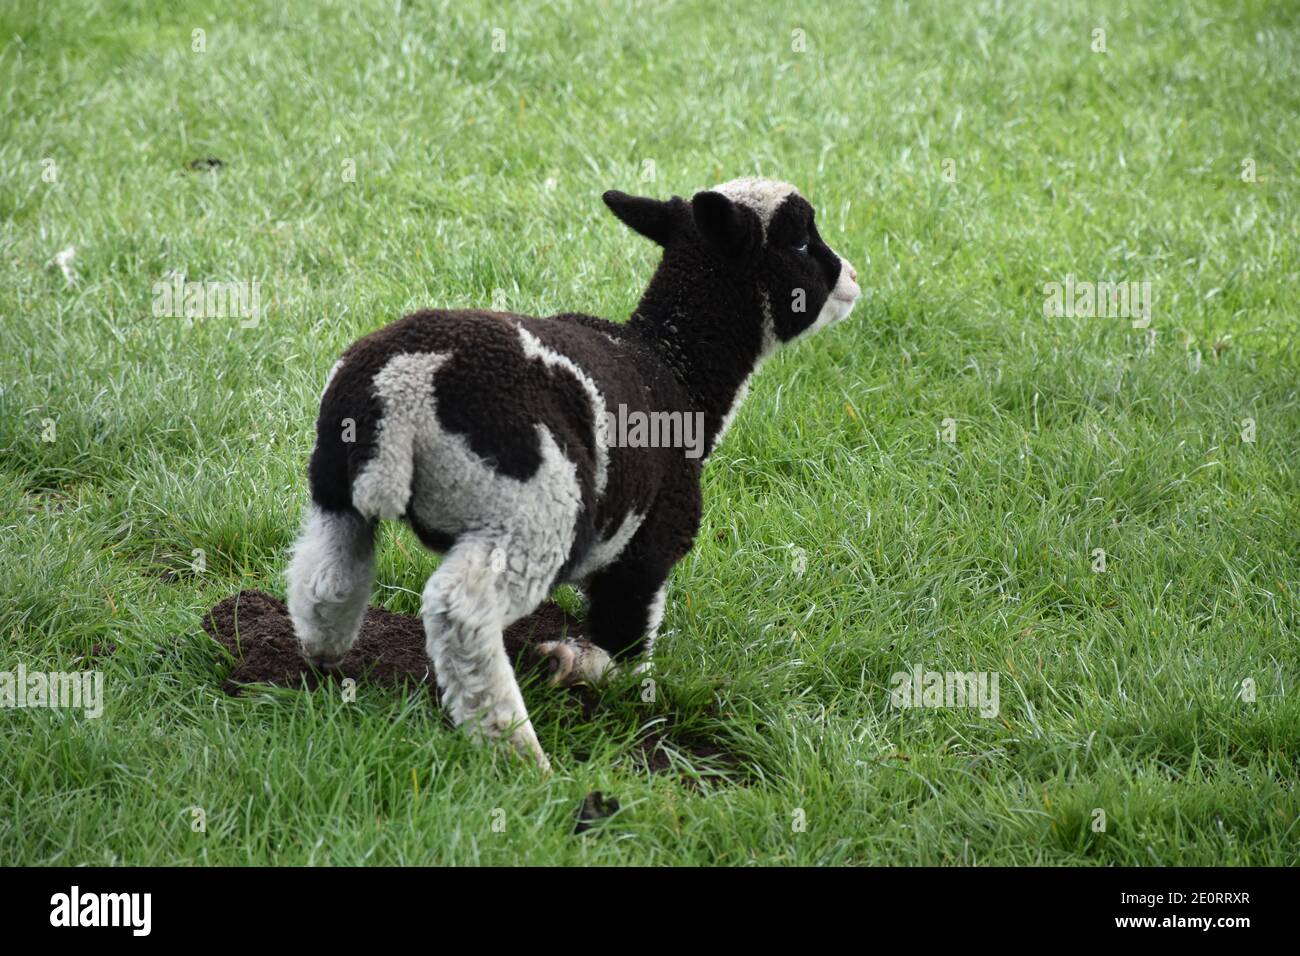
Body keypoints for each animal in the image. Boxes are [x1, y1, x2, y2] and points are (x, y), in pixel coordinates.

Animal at [289, 178, 868, 770]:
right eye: (800, 242)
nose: (851, 277)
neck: (676, 370)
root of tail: (404, 386)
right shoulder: (649, 545)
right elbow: (627, 642)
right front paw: (581, 669)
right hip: (534, 510)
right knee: (461, 612)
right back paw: (517, 752)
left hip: (335, 489)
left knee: (326, 576)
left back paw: (325, 655)